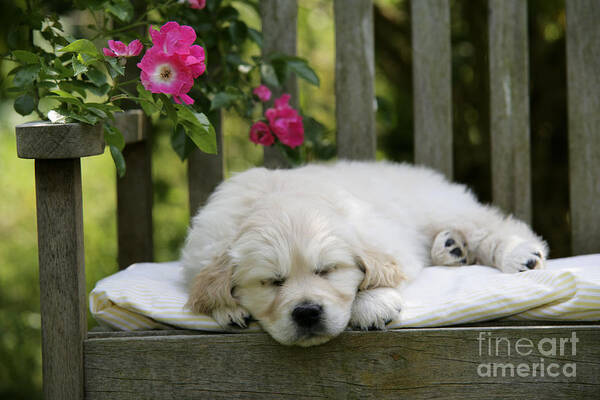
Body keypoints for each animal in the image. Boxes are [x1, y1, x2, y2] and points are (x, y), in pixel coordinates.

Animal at [180, 161, 548, 346]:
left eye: (328, 270)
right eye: (272, 282)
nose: (307, 313)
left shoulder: (388, 242)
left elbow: (377, 274)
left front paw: (372, 304)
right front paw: (226, 307)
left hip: (437, 207)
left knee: (491, 225)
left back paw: (519, 252)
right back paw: (451, 249)